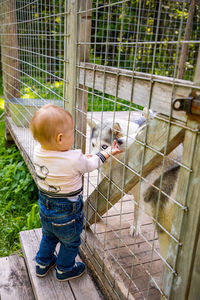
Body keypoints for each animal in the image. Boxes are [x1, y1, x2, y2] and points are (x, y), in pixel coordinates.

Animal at [87, 110, 181, 264]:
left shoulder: (139, 191)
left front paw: (136, 228)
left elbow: (138, 212)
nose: (91, 158)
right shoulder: (105, 181)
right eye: (93, 144)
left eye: (104, 147)